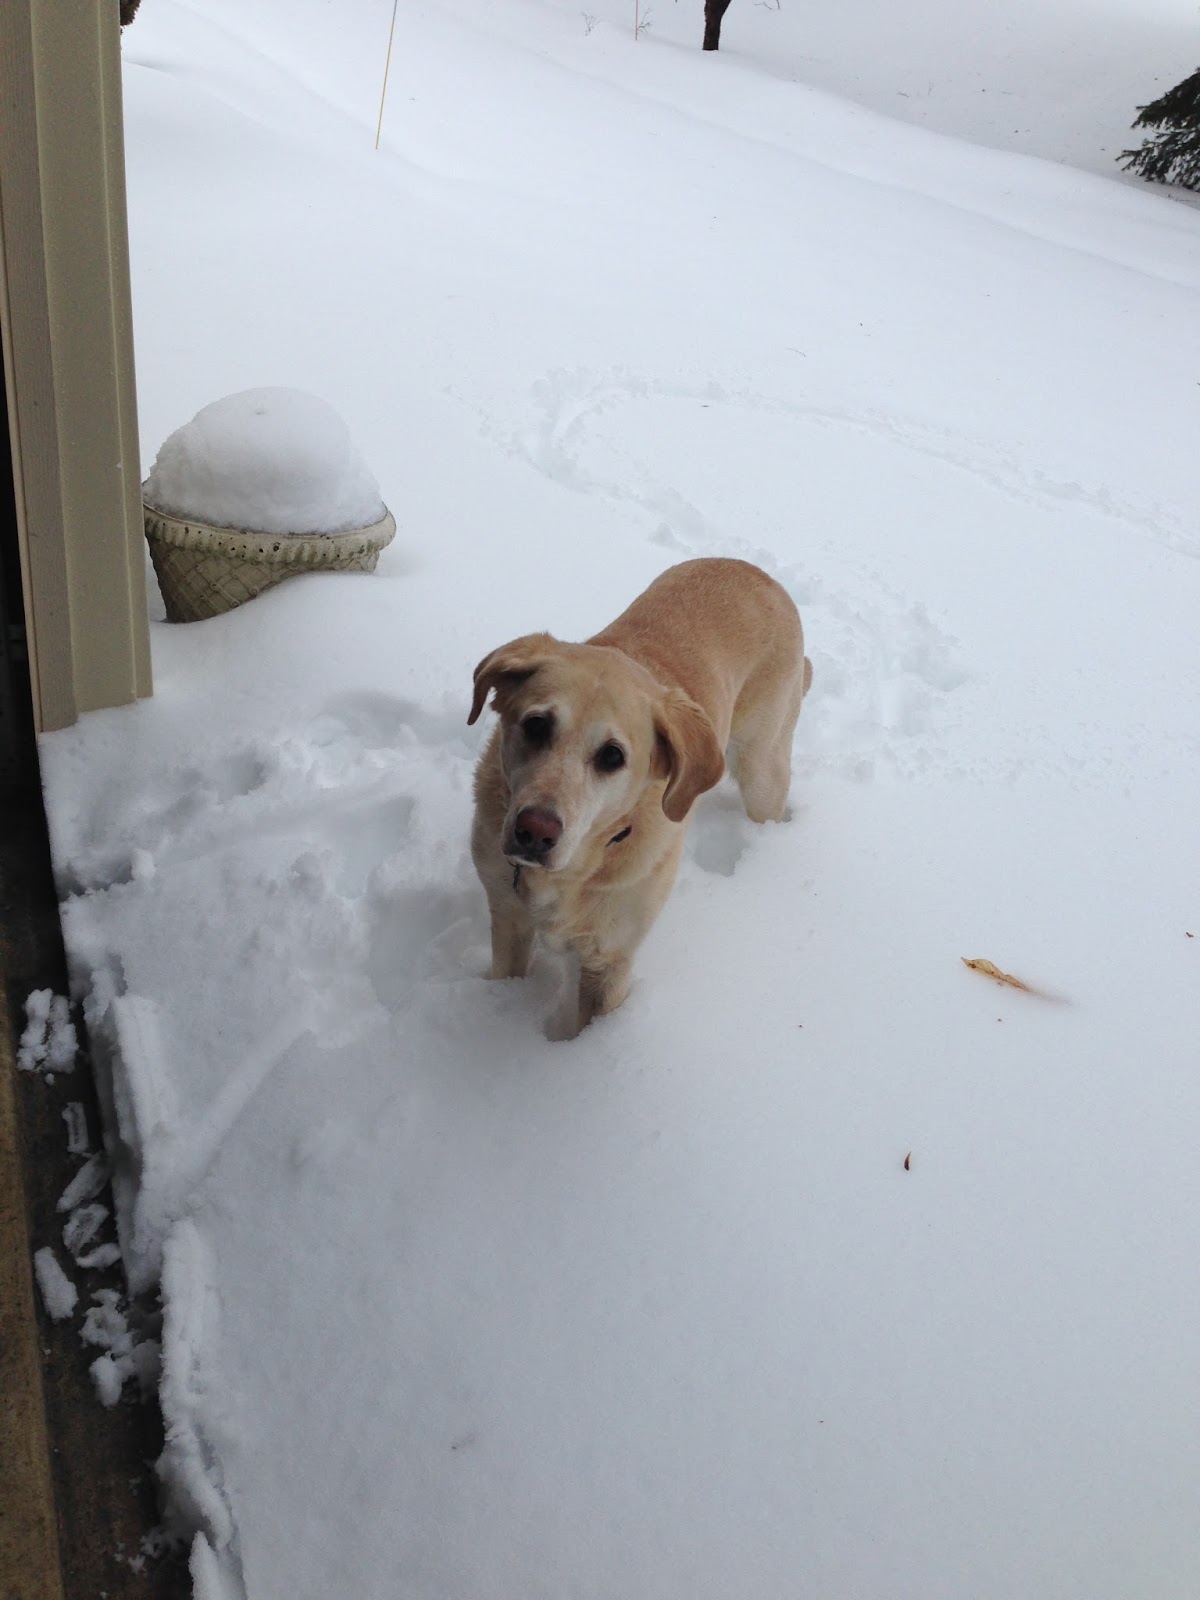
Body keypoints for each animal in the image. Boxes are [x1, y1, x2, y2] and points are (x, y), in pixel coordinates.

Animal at [468, 557, 811, 1036]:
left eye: (612, 756)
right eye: (536, 725)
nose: (534, 831)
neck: (575, 871)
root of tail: (756, 571)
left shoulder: (608, 961)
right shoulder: (507, 917)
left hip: (762, 768)